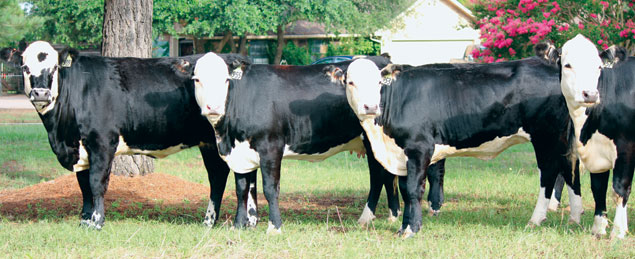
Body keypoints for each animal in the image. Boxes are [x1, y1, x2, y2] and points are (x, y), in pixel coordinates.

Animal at [0, 41, 253, 231]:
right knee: (221, 177)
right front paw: (84, 220)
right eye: (24, 67)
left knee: (234, 177)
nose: (40, 93)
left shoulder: (102, 143)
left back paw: (234, 222)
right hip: (209, 143)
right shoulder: (80, 149)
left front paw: (97, 222)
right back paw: (222, 222)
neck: (60, 133)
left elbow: (96, 183)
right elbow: (83, 186)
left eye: (53, 68)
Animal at [194, 52, 448, 234]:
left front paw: (274, 227)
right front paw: (239, 225)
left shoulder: (271, 147)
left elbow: (270, 188)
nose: (213, 107)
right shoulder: (239, 152)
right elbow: (241, 188)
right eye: (197, 80)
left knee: (378, 177)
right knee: (385, 176)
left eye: (225, 79)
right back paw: (389, 215)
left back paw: (368, 216)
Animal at [540, 35, 635, 240]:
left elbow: (620, 188)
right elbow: (598, 188)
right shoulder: (596, 152)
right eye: (567, 65)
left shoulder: (626, 148)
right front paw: (598, 228)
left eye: (599, 67)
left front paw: (618, 231)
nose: (590, 94)